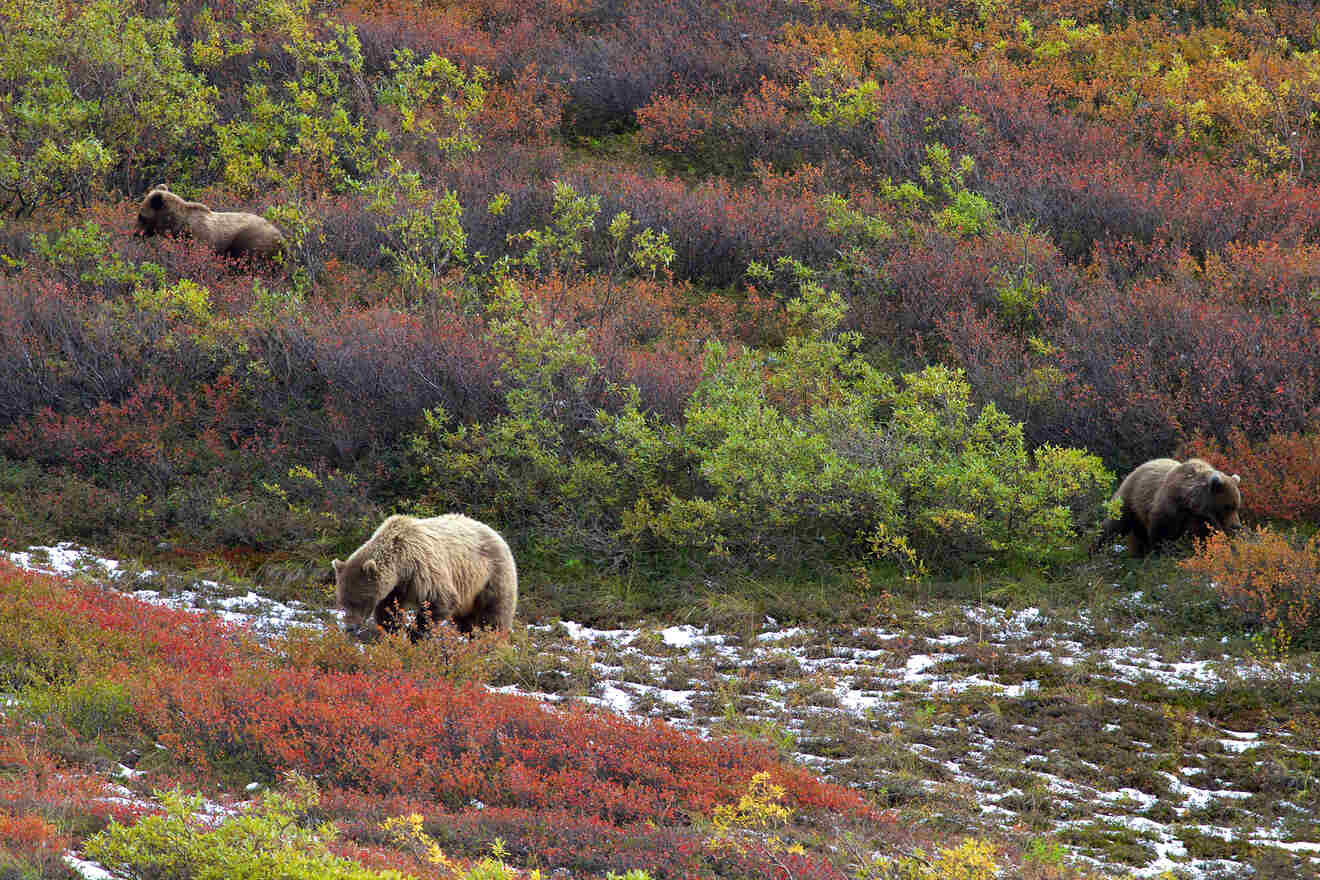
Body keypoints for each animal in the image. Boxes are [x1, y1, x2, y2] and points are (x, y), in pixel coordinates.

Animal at [133, 182, 283, 258]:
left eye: (141, 215)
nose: (135, 234)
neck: (176, 225)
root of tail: (281, 237)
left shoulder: (199, 239)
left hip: (251, 243)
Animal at [332, 511, 517, 643]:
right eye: (342, 601)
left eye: (358, 601)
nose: (349, 627)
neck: (401, 565)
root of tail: (497, 533)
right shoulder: (396, 588)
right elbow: (389, 611)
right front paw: (392, 633)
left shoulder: (423, 571)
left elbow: (440, 601)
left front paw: (415, 634)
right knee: (467, 621)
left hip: (492, 575)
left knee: (494, 614)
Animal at [1098, 461, 1240, 556]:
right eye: (1228, 506)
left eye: (1237, 506)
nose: (1237, 526)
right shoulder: (1169, 510)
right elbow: (1161, 535)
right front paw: (1161, 554)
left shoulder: (1201, 520)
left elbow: (1204, 538)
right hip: (1131, 500)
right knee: (1115, 525)